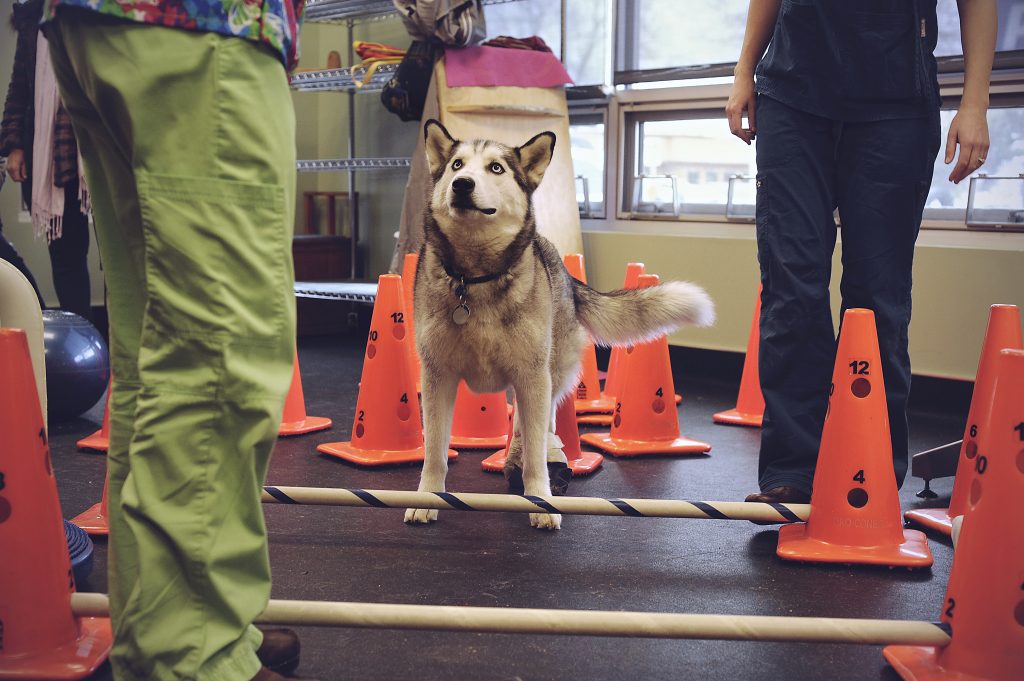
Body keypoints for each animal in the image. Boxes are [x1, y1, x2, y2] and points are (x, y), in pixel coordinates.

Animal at [403, 119, 716, 528]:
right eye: (457, 165)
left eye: (496, 168)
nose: (462, 184)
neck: (475, 279)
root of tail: (562, 268)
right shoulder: (436, 377)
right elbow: (435, 452)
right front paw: (428, 498)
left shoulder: (532, 375)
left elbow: (536, 451)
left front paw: (539, 499)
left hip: (551, 370)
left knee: (541, 421)